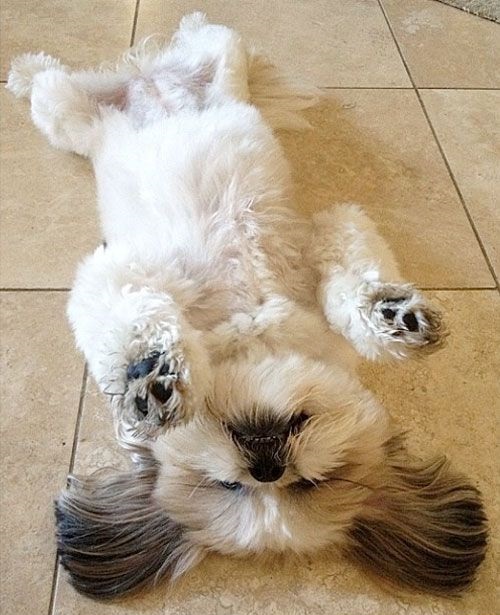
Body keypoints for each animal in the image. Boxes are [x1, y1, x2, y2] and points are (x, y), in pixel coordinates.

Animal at [5, 13, 486, 600]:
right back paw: (29, 69)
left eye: (309, 483)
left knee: (211, 44)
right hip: (66, 114)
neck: (253, 330)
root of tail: (149, 79)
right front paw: (150, 372)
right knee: (53, 78)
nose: (266, 464)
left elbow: (351, 285)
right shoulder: (119, 271)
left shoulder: (326, 230)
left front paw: (392, 315)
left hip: (208, 68)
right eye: (227, 485)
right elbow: (135, 317)